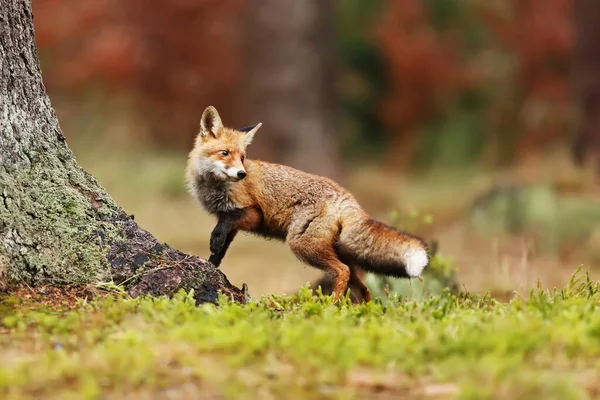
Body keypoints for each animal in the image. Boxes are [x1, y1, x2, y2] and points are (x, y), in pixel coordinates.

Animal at [185, 104, 428, 302]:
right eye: (224, 153)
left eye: (242, 157)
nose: (242, 174)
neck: (213, 187)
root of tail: (346, 196)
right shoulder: (232, 222)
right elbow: (221, 248)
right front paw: (211, 263)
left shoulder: (252, 213)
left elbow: (225, 224)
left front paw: (214, 242)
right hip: (335, 250)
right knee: (362, 286)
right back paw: (364, 311)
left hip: (302, 244)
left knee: (342, 271)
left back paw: (332, 306)